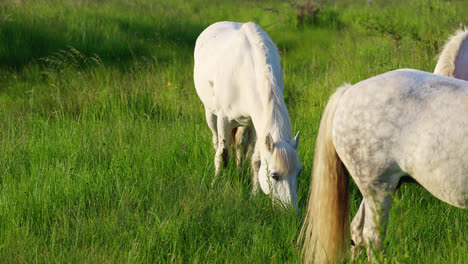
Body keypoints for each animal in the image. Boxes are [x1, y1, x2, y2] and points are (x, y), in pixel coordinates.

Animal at [194, 21, 304, 209]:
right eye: (274, 175)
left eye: (298, 173)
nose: (291, 212)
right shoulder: (224, 119)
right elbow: (223, 154)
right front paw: (215, 184)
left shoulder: (256, 124)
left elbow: (255, 160)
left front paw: (253, 195)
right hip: (210, 113)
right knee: (216, 142)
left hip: (245, 123)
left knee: (240, 145)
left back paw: (240, 172)